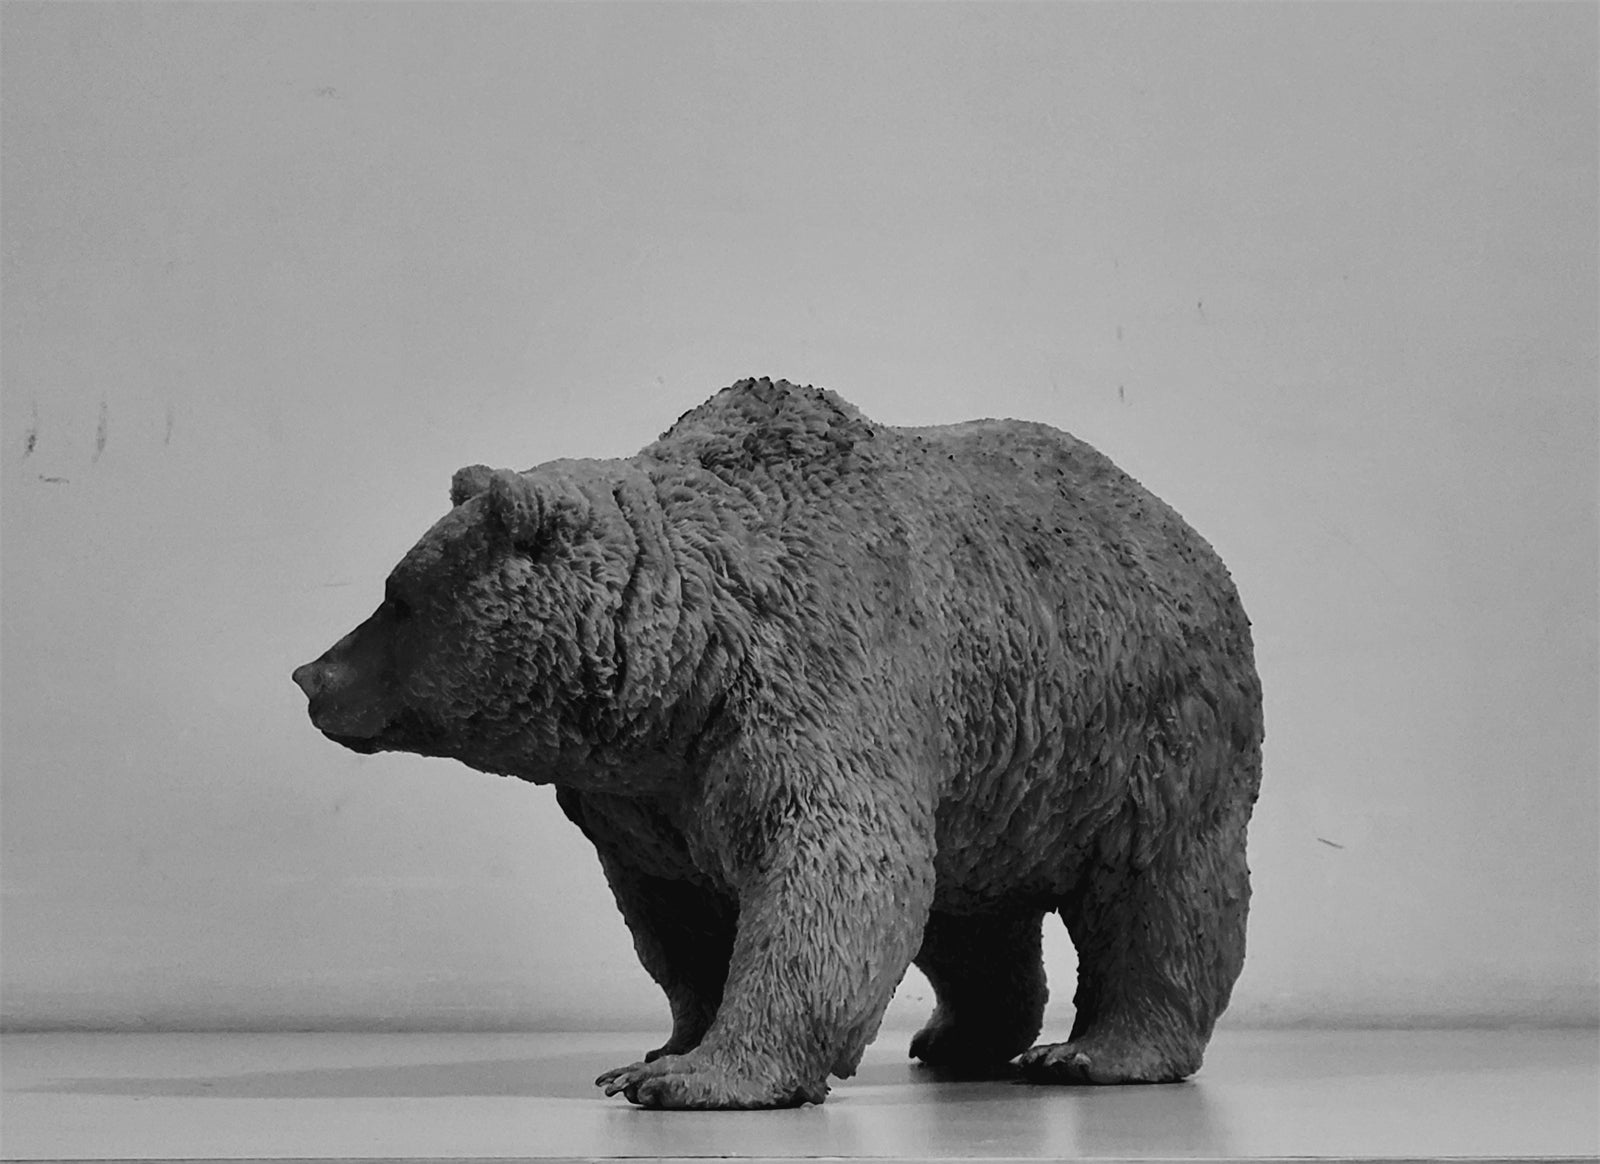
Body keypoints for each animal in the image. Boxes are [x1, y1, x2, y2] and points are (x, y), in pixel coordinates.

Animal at [292, 378, 1263, 1109]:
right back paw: (956, 1038)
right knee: (968, 915)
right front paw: (656, 1052)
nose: (311, 675)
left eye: (397, 596)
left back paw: (1096, 1053)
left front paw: (701, 1079)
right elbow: (679, 926)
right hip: (997, 775)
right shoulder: (648, 805)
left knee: (1160, 893)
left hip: (1145, 730)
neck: (676, 678)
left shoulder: (819, 689)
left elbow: (830, 881)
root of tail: (1172, 520)